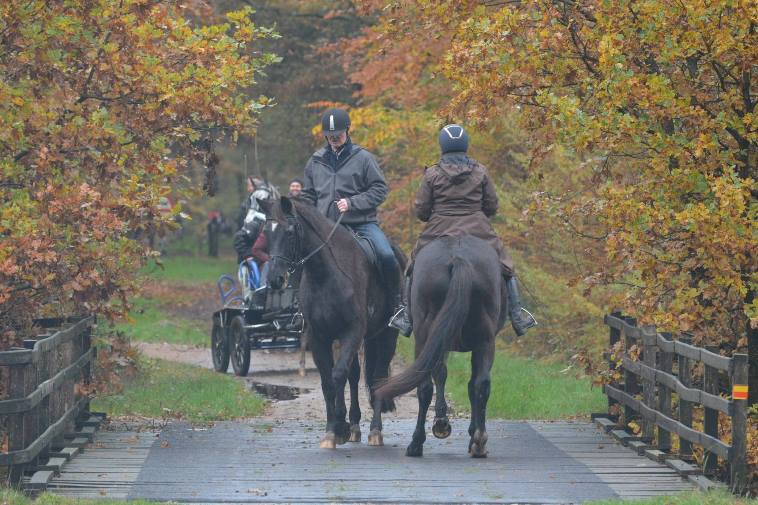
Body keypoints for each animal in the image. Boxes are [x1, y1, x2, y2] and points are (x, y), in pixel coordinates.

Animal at [262, 195, 404, 446]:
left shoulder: (352, 332)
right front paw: (333, 430)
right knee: (355, 375)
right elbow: (328, 381)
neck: (326, 275)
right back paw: (355, 425)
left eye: (289, 232)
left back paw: (375, 431)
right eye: (266, 233)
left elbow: (338, 375)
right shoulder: (319, 337)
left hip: (387, 335)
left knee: (377, 376)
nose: (275, 280)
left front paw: (340, 425)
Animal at [374, 235, 504, 456]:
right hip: (484, 340)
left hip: (426, 337)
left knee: (426, 386)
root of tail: (458, 258)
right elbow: (466, 383)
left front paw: (441, 423)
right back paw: (479, 441)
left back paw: (417, 442)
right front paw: (462, 429)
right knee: (481, 382)